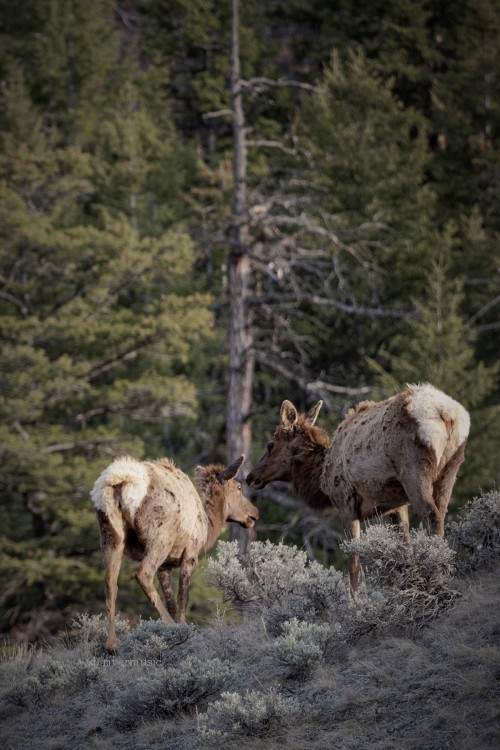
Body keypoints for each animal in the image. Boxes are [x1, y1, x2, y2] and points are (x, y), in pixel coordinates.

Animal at [90, 456, 260, 656]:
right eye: (239, 487)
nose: (254, 513)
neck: (208, 523)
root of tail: (120, 481)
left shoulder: (166, 565)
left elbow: (171, 601)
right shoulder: (191, 553)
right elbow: (182, 598)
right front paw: (183, 628)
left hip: (110, 535)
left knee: (110, 582)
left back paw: (112, 645)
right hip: (160, 536)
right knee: (142, 574)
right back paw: (171, 627)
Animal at [248, 384, 470, 596]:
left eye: (270, 445)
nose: (251, 476)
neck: (320, 477)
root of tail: (448, 415)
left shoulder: (345, 502)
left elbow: (353, 557)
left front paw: (354, 601)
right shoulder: (397, 506)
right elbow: (404, 546)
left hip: (414, 470)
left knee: (431, 515)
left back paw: (438, 577)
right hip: (449, 470)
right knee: (441, 514)